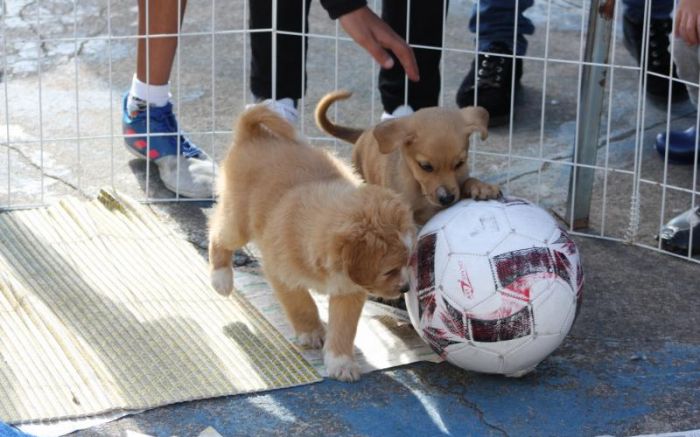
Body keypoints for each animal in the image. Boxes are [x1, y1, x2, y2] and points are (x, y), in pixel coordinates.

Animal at [208, 104, 416, 380]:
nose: (405, 288)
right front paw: (312, 332)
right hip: (237, 224)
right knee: (216, 230)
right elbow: (301, 305)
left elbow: (344, 327)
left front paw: (340, 361)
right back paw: (221, 279)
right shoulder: (282, 275)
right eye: (389, 270)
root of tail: (251, 134)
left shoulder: (349, 291)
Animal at [314, 90, 500, 223]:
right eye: (425, 166)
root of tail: (364, 132)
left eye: (460, 164)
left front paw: (481, 187)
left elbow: (466, 181)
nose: (447, 198)